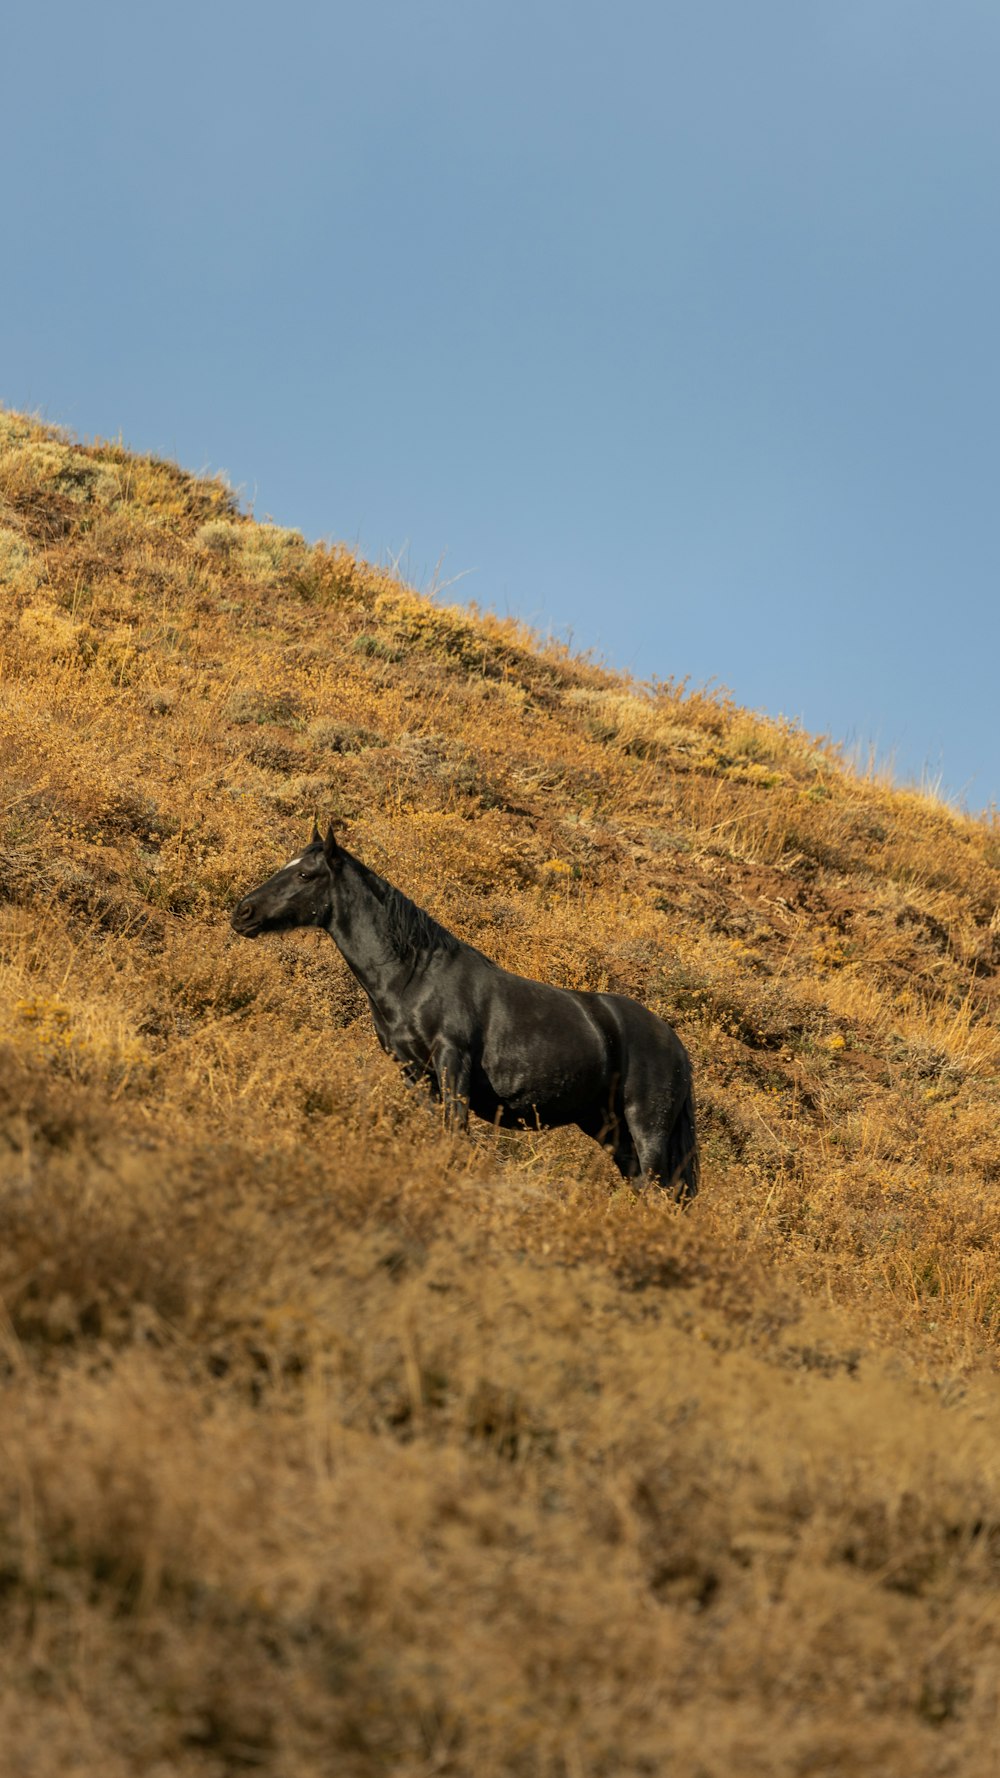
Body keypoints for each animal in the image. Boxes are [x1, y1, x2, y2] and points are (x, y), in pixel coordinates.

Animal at [231, 824, 701, 1201]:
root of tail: (675, 1045)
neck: (414, 976)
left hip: (646, 1126)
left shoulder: (451, 1061)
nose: (243, 913)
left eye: (305, 874)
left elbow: (455, 1132)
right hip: (609, 1128)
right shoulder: (412, 1072)